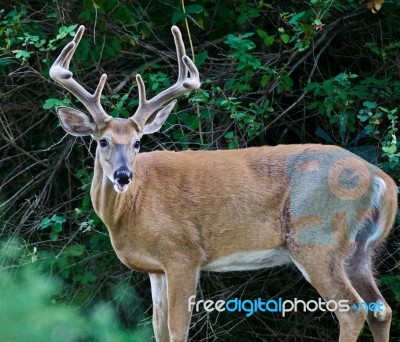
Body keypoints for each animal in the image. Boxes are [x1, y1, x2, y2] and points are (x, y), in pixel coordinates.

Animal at [50, 25, 396, 340]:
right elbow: (158, 329)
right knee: (381, 309)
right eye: (103, 141)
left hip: (317, 238)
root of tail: (383, 180)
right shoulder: (156, 269)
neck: (131, 207)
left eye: (137, 143)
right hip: (360, 250)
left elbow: (176, 329)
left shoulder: (183, 253)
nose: (123, 175)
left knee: (353, 310)